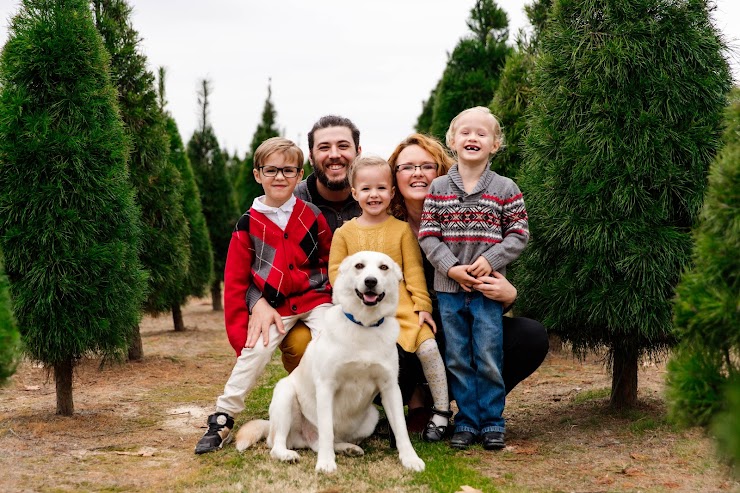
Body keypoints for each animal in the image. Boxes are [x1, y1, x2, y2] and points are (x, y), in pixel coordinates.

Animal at [234, 252, 424, 470]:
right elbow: (326, 430)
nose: (370, 281)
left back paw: (348, 448)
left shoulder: (390, 388)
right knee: (278, 443)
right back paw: (287, 454)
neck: (364, 326)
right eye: (359, 266)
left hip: (371, 418)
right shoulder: (326, 387)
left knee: (320, 442)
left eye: (383, 267)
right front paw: (325, 463)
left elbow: (401, 428)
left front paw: (410, 458)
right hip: (285, 393)